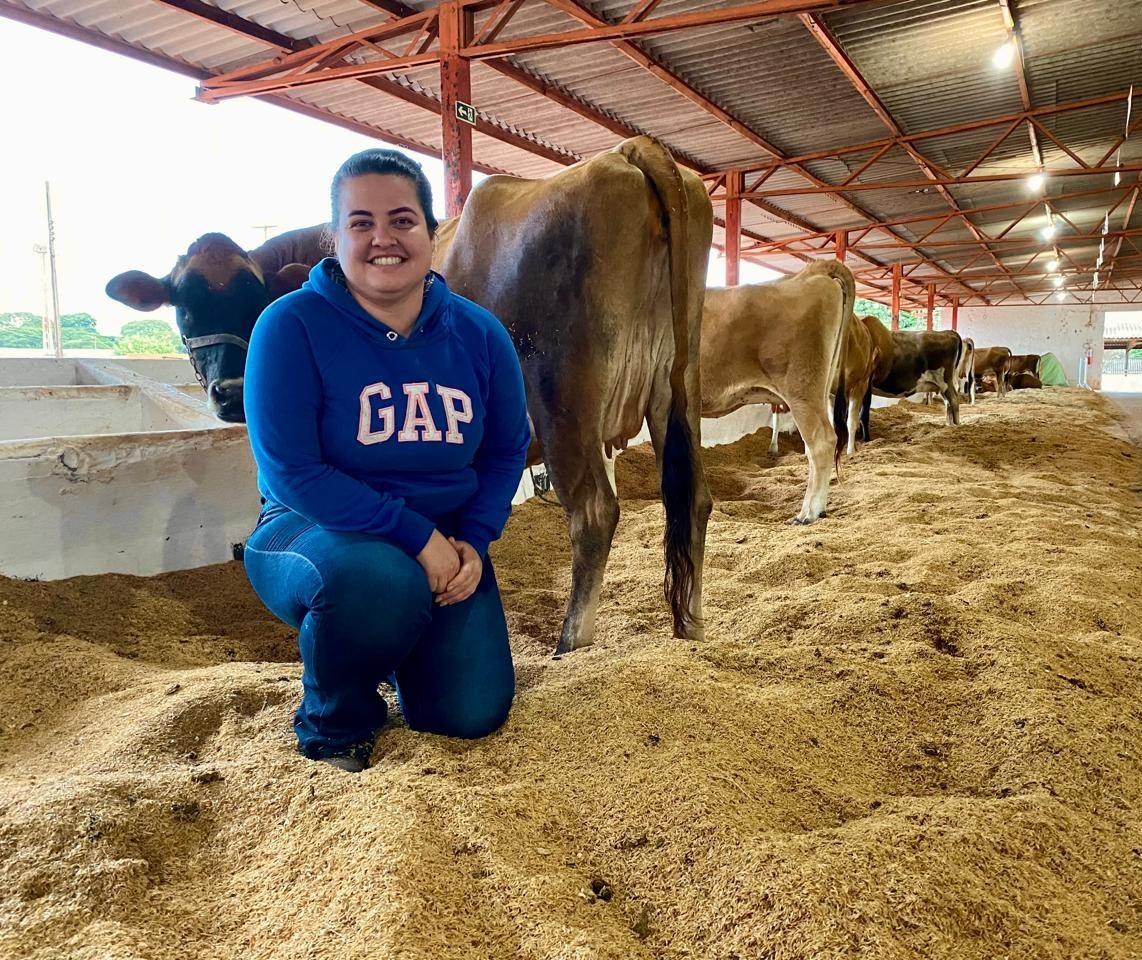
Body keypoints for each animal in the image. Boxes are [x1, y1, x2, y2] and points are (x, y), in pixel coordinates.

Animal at [431, 134, 708, 657]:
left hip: (561, 394)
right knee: (694, 500)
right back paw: (692, 630)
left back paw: (570, 644)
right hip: (675, 387)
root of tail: (628, 151)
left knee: (594, 511)